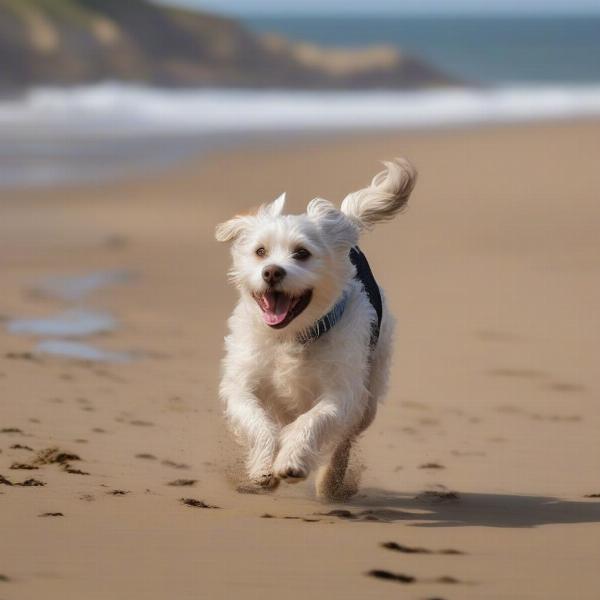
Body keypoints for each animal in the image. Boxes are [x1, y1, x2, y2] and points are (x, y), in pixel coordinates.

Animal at [216, 157, 418, 500]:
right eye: (260, 251)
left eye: (302, 253)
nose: (271, 272)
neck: (291, 336)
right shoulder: (242, 382)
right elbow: (257, 421)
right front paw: (264, 468)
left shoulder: (342, 391)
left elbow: (315, 420)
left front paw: (292, 461)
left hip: (370, 391)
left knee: (345, 438)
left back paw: (329, 481)